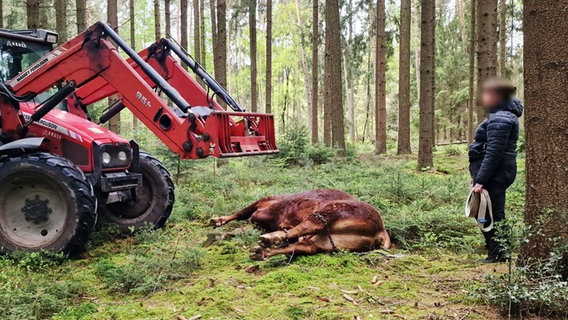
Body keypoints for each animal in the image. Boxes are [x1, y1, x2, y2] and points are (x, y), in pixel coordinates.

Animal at [209, 190, 390, 260]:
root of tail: (380, 231)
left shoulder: (263, 205)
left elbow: (241, 213)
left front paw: (217, 221)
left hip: (331, 211)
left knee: (307, 226)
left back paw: (270, 238)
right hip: (326, 243)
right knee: (302, 246)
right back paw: (261, 252)